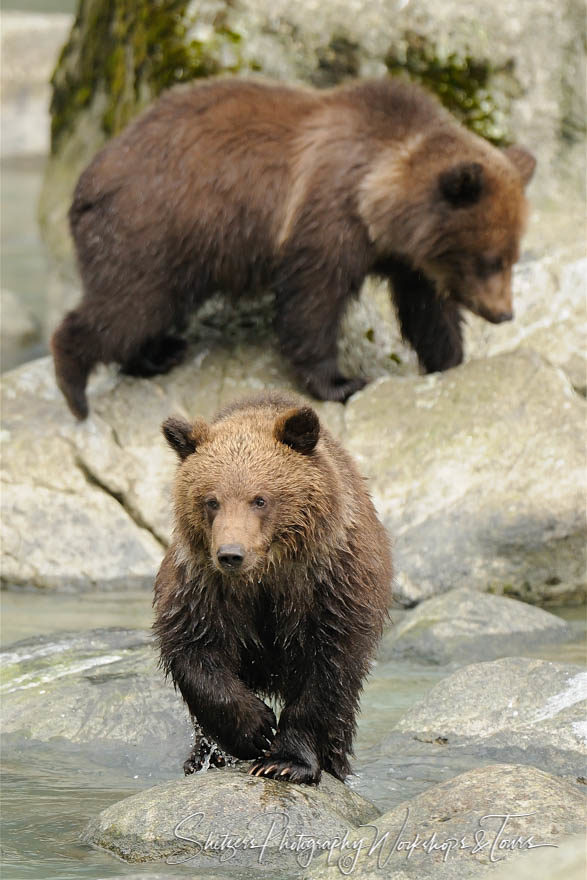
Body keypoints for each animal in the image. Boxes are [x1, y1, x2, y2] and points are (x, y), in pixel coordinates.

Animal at [52, 75, 536, 420]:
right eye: (490, 259)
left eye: (513, 256)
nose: (504, 313)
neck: (376, 201)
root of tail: (85, 183)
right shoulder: (326, 217)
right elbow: (312, 301)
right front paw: (341, 381)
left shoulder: (408, 261)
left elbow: (427, 312)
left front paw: (450, 359)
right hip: (153, 229)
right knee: (128, 306)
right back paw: (76, 388)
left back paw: (157, 354)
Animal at [154, 392, 392, 784]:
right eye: (211, 500)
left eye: (260, 499)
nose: (231, 554)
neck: (267, 575)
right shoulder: (203, 588)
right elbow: (194, 651)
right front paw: (256, 727)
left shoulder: (328, 587)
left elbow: (325, 670)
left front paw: (286, 761)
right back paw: (203, 757)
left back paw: (335, 762)